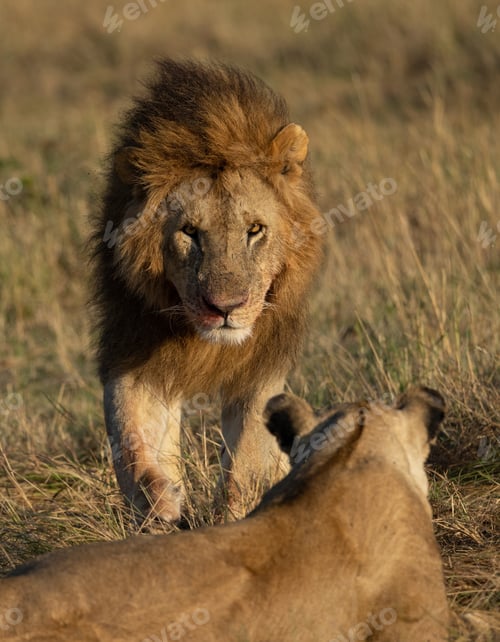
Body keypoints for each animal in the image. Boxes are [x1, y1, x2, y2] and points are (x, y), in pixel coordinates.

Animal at [89, 59, 324, 521]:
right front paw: (159, 501)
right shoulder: (134, 350)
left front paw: (232, 521)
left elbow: (245, 465)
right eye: (190, 232)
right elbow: (129, 439)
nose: (225, 309)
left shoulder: (260, 369)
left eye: (255, 230)